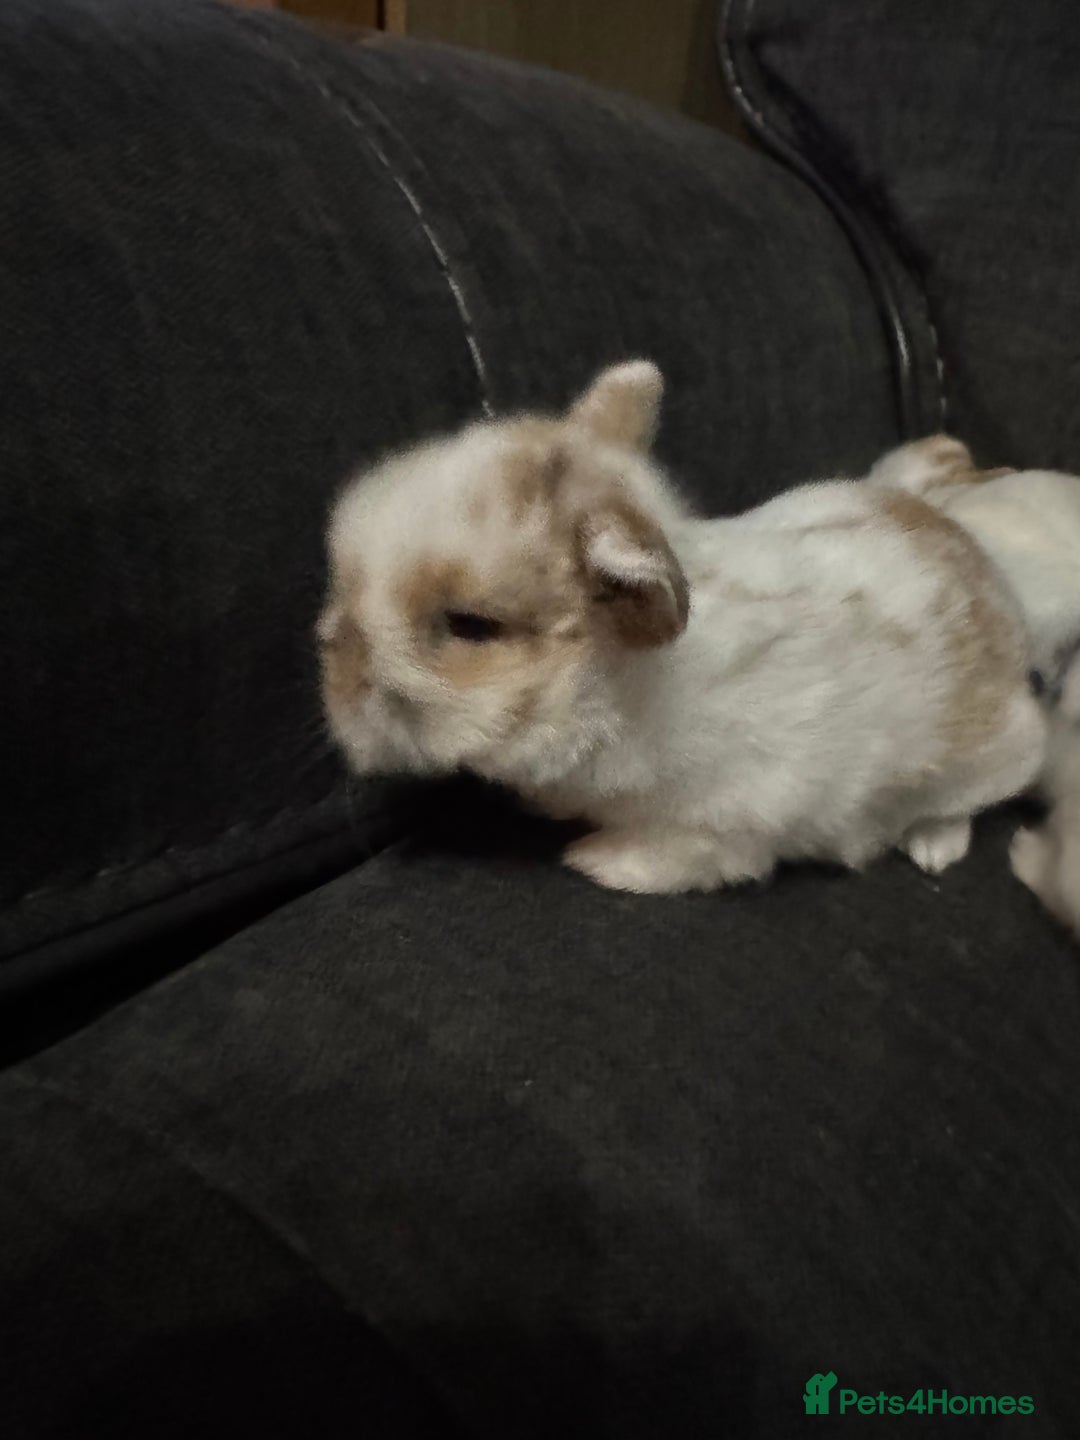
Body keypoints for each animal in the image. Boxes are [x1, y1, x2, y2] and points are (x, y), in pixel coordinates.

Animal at [319, 361, 1045, 893]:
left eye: (470, 625)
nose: (340, 676)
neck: (617, 691)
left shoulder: (724, 823)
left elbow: (676, 857)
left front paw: (594, 861)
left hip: (986, 761)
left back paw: (932, 846)